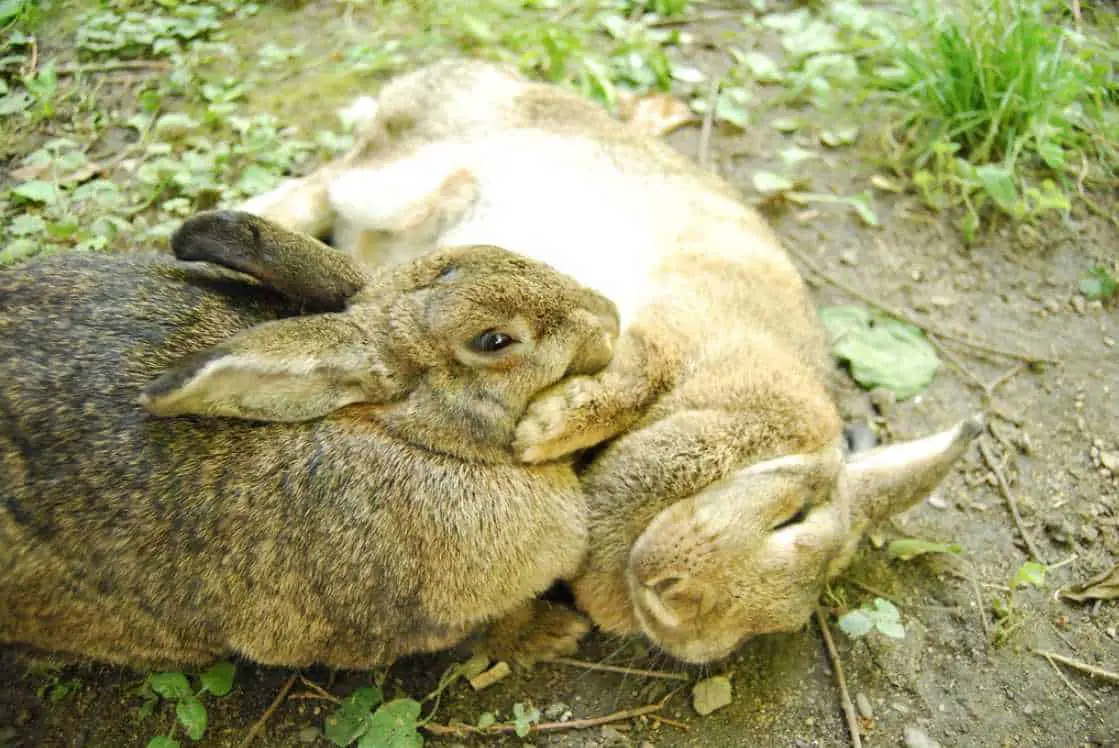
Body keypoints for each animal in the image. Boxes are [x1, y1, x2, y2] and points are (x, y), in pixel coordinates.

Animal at [240, 61, 984, 662]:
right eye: (791, 517)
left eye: (772, 628)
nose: (678, 613)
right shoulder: (664, 328)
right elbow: (628, 374)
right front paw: (543, 432)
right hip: (396, 176)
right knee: (321, 185)